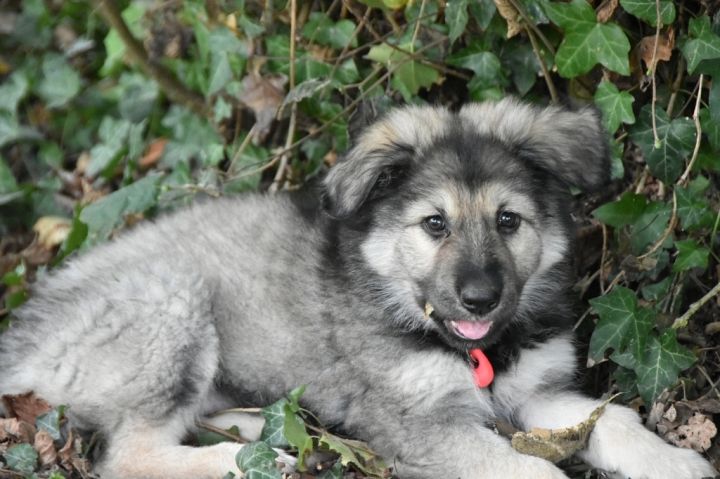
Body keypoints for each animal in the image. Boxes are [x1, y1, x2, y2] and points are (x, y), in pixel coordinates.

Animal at [0, 99, 716, 479]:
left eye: (508, 220)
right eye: (434, 224)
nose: (480, 298)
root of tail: (26, 333)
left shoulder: (534, 392)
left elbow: (614, 417)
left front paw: (673, 461)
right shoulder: (419, 421)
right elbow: (531, 468)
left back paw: (260, 427)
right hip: (171, 304)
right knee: (131, 454)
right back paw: (252, 461)